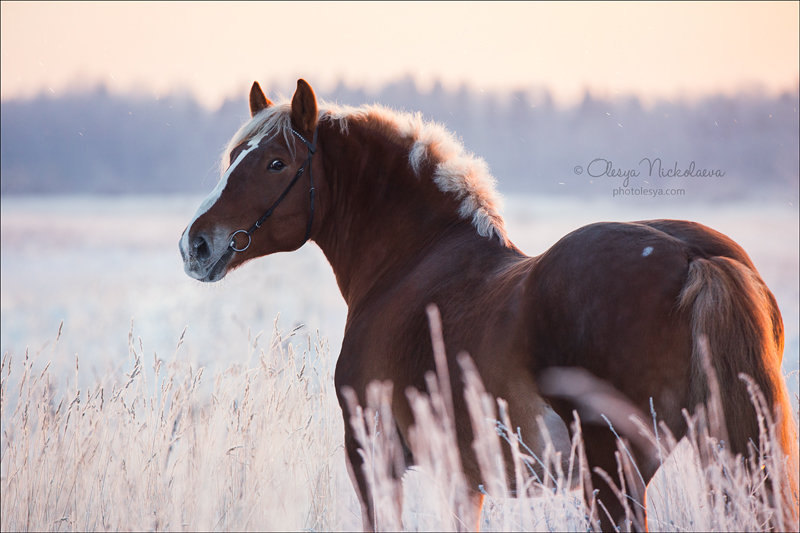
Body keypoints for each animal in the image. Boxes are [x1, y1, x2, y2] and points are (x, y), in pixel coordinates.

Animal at [178, 80, 796, 532]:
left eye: (276, 164)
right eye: (234, 157)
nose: (196, 244)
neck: (412, 261)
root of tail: (693, 256)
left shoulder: (373, 456)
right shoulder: (465, 478)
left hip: (613, 472)